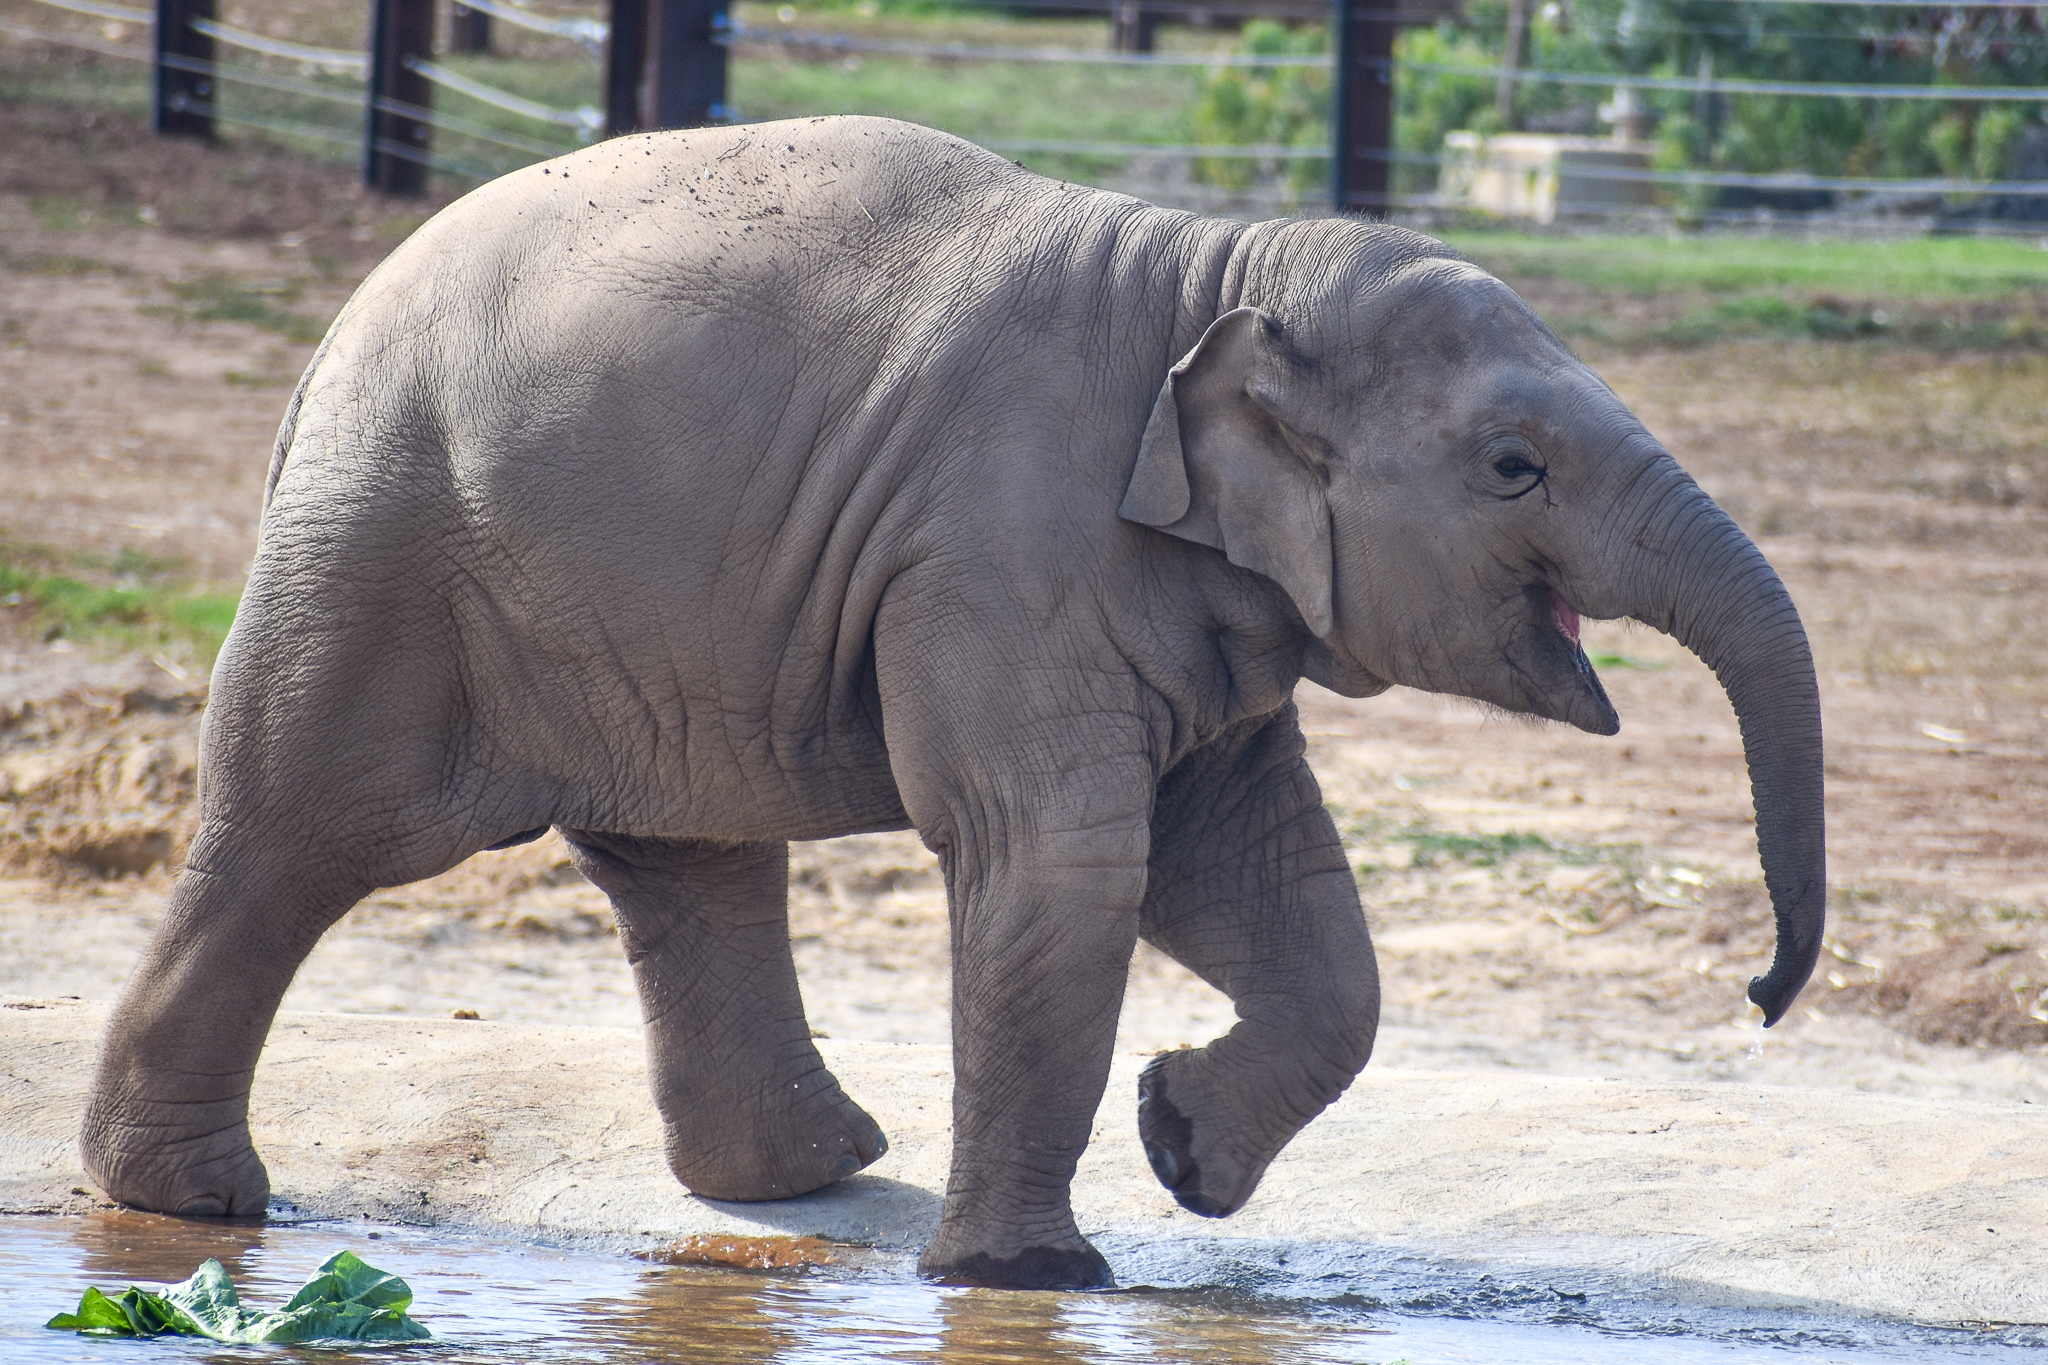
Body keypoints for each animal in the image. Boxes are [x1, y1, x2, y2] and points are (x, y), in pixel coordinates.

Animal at [80, 116, 1825, 1290]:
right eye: (1514, 466)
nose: (1759, 996)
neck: (1221, 267)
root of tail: (333, 335)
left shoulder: (1188, 591)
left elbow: (1263, 877)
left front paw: (1182, 1149)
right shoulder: (1004, 553)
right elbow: (1062, 864)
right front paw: (1033, 1282)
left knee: (687, 858)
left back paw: (811, 1174)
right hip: (387, 544)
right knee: (297, 832)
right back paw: (185, 1210)